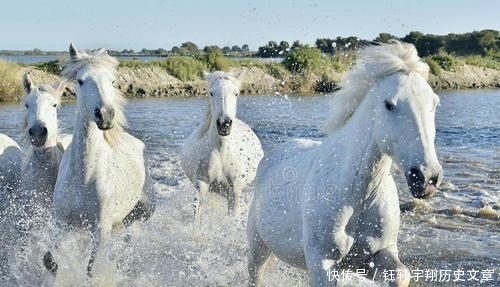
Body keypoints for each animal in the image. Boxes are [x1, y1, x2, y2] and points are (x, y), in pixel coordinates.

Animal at [46, 44, 156, 276]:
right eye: (80, 81)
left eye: (112, 81)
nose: (105, 115)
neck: (84, 177)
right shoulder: (61, 225)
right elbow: (51, 261)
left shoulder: (101, 230)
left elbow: (91, 270)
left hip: (142, 212)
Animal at [182, 71, 264, 218]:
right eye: (211, 93)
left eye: (236, 93)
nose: (224, 124)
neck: (221, 152)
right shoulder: (202, 186)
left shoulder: (235, 192)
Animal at [246, 41, 442, 286]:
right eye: (389, 104)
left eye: (434, 103)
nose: (426, 177)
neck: (357, 193)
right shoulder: (323, 264)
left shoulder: (372, 257)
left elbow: (401, 274)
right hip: (257, 248)